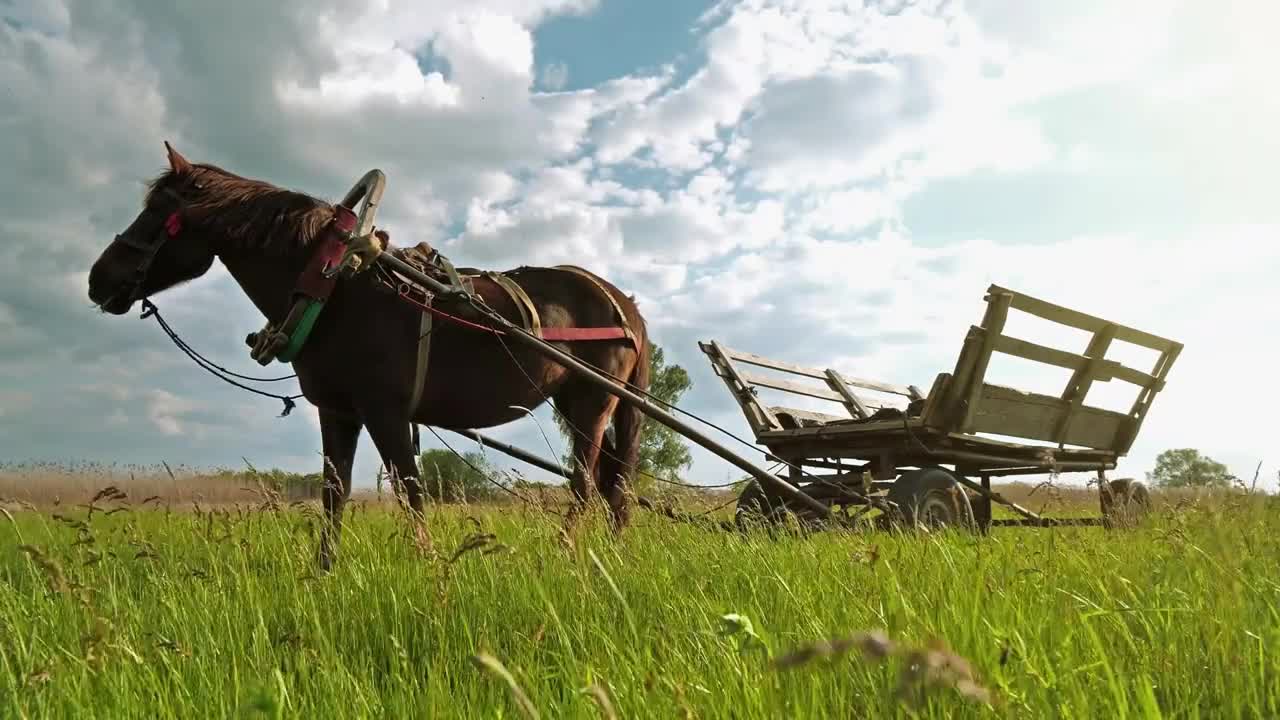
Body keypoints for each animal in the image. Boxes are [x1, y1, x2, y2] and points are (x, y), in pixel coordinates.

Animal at [82, 140, 650, 566]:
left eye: (158, 212)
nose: (96, 279)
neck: (332, 286)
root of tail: (622, 302)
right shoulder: (338, 411)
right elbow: (335, 493)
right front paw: (323, 575)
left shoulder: (386, 412)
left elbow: (411, 493)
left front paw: (430, 571)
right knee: (611, 486)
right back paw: (610, 552)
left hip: (592, 404)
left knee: (587, 484)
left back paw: (566, 553)